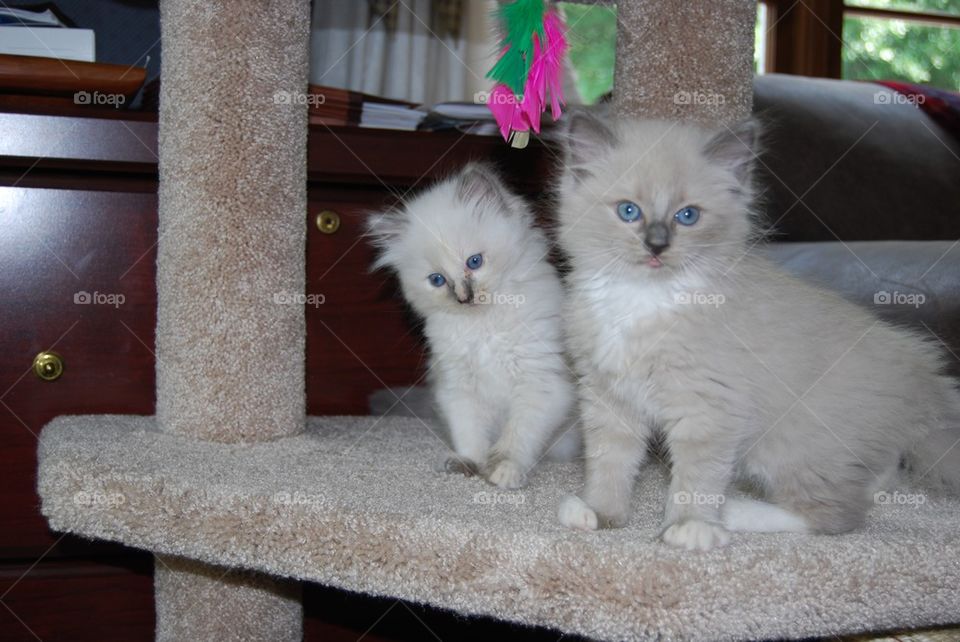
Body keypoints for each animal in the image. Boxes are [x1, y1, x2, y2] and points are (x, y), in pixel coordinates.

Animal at [366, 162, 576, 488]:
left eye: (474, 262)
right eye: (437, 280)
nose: (464, 298)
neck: (484, 326)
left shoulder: (540, 382)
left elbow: (517, 436)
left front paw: (503, 471)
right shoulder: (458, 385)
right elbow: (470, 432)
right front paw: (469, 463)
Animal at [552, 112, 960, 548]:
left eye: (687, 216)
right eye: (629, 211)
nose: (657, 245)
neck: (642, 299)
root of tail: (929, 389)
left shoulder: (709, 408)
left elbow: (696, 479)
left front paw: (689, 527)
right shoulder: (608, 397)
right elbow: (610, 462)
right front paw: (600, 513)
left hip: (791, 448)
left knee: (836, 515)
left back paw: (734, 513)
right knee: (871, 483)